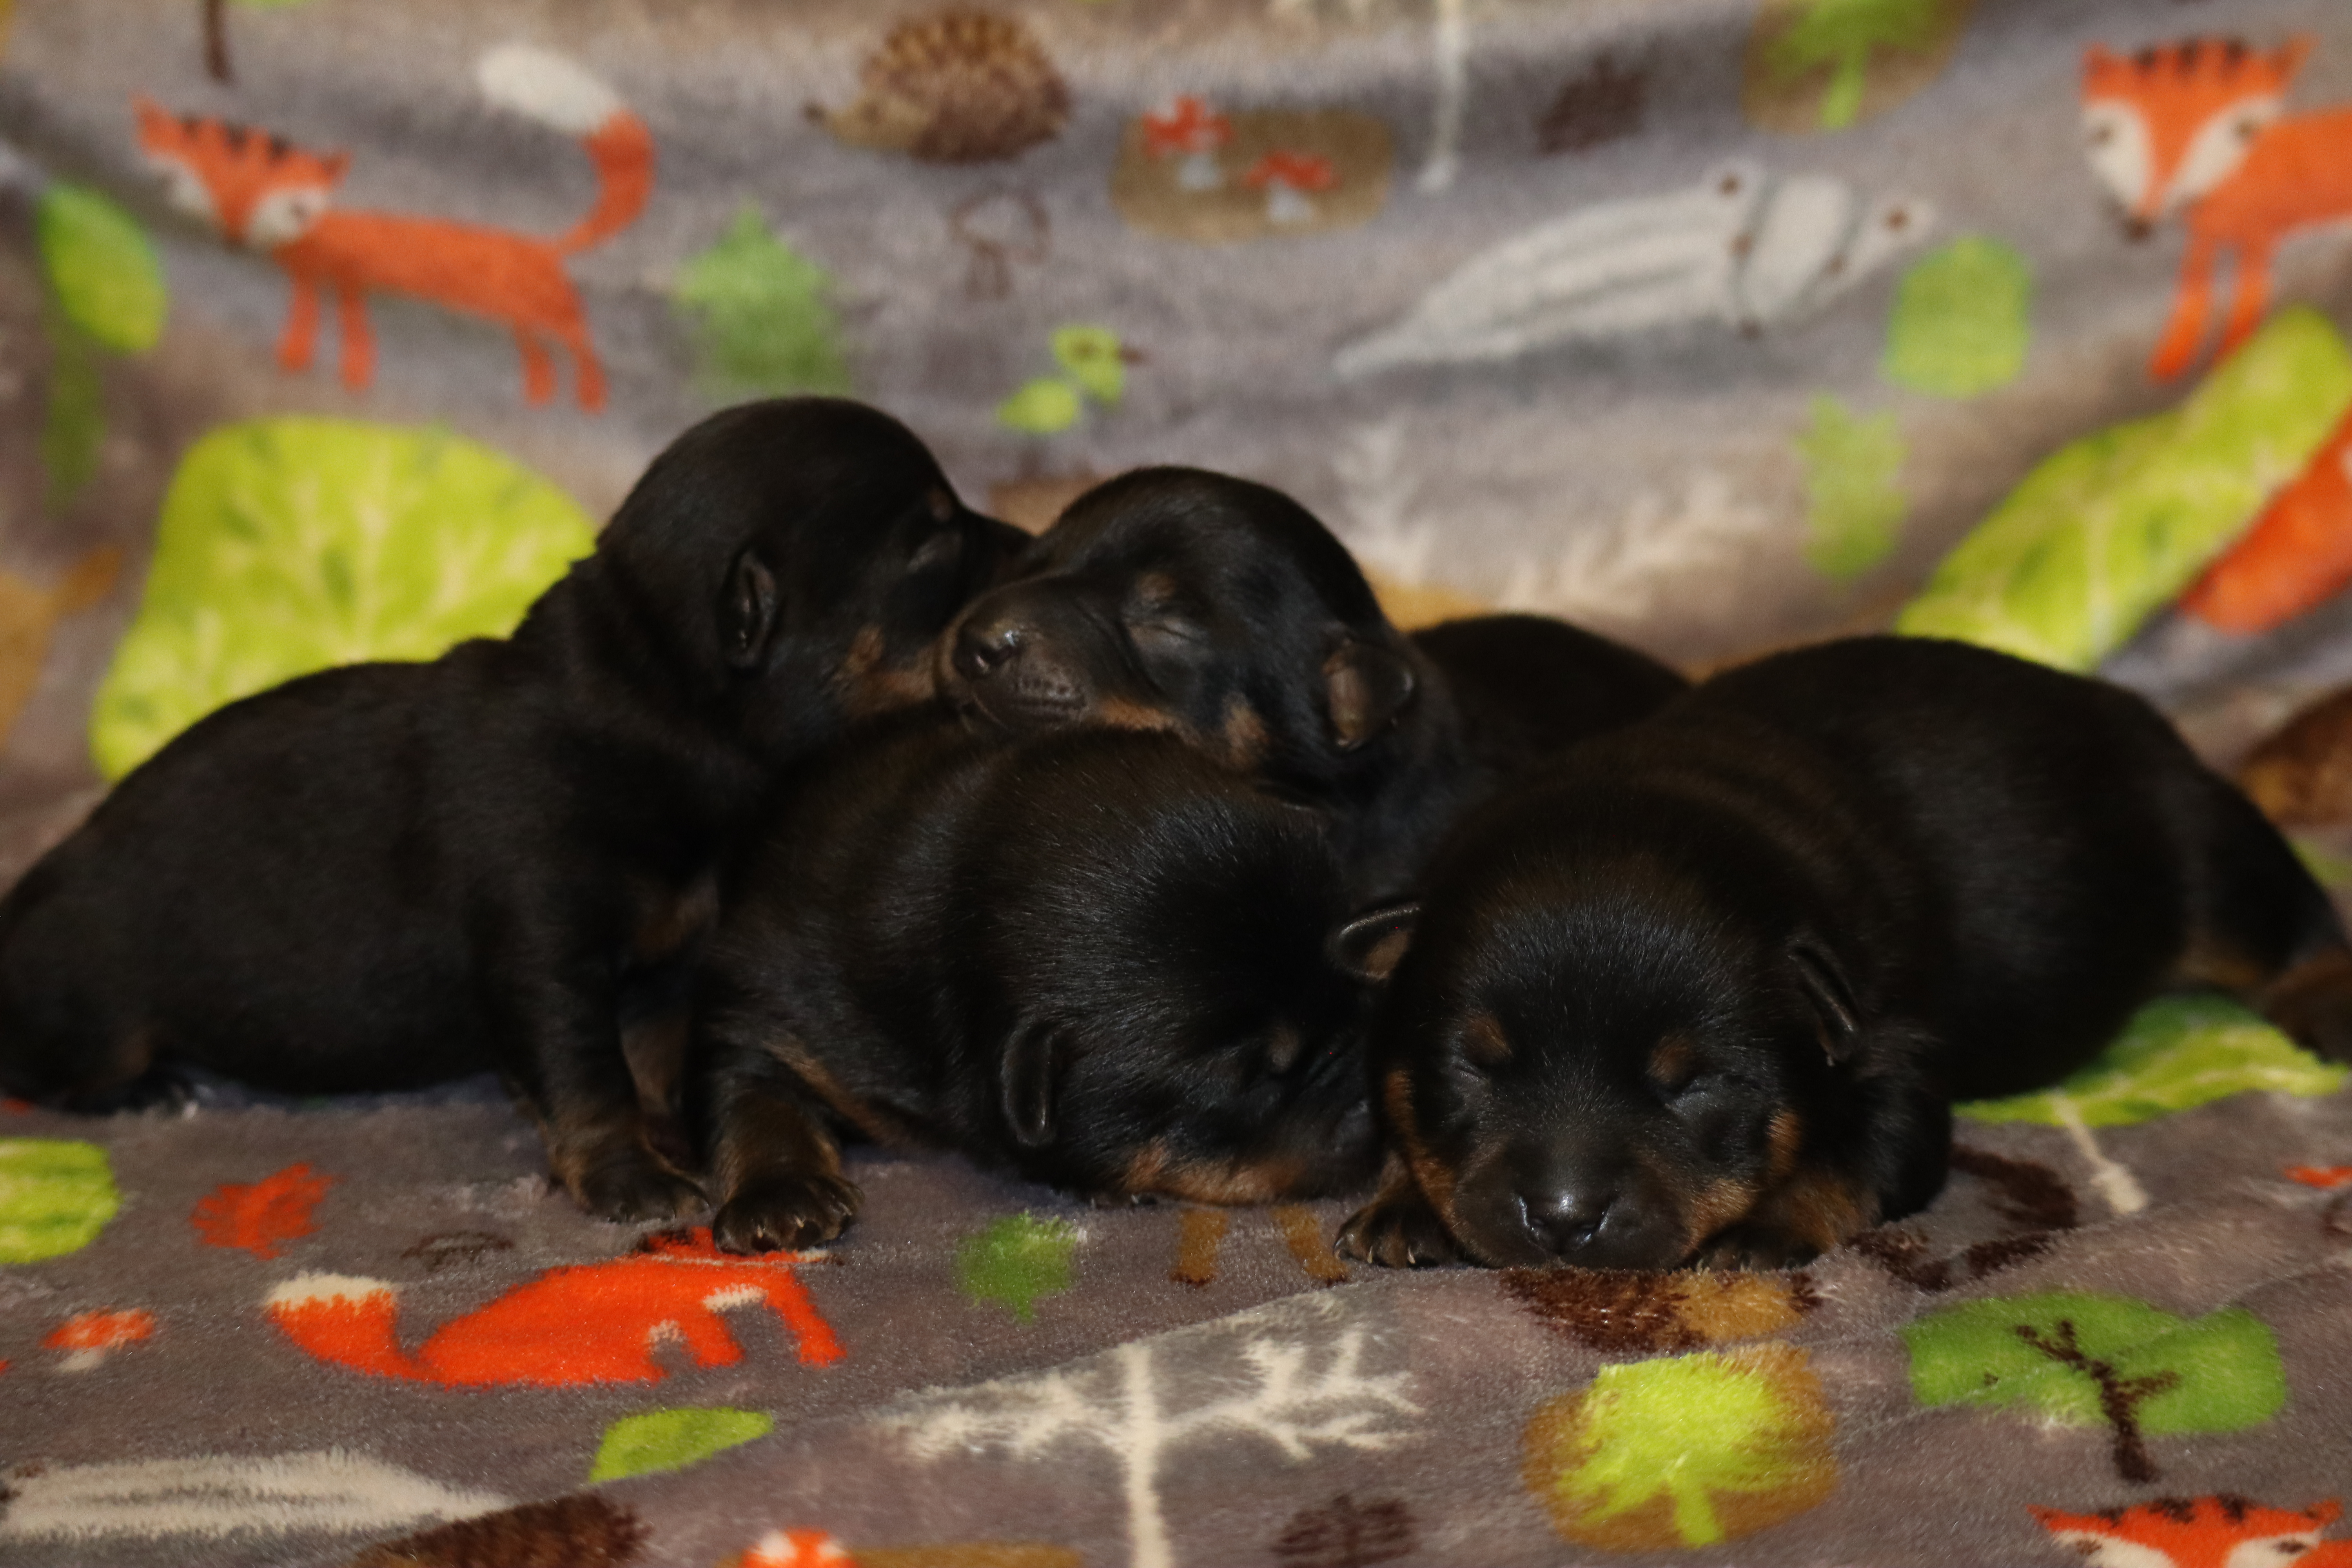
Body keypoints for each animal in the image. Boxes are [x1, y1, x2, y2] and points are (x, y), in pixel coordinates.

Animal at [0, 399, 1021, 1222]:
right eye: (931, 541)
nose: (1031, 545)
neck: (649, 699)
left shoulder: (668, 962)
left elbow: (653, 1053)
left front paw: (677, 1128)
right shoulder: (543, 948)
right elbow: (588, 1075)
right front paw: (632, 1176)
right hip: (93, 999)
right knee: (51, 1063)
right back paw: (147, 1091)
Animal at [687, 719, 1383, 1250]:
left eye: (1360, 1006)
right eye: (1251, 1076)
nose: (1375, 1099)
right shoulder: (770, 1003)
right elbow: (756, 1092)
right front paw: (782, 1198)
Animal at [1345, 630, 2352, 1269]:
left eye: (1693, 1085)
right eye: (1472, 1066)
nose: (1562, 1216)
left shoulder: (1890, 1047)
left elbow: (1864, 1152)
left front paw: (1770, 1221)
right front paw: (1405, 1198)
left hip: (2200, 847)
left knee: (2284, 914)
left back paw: (2323, 996)